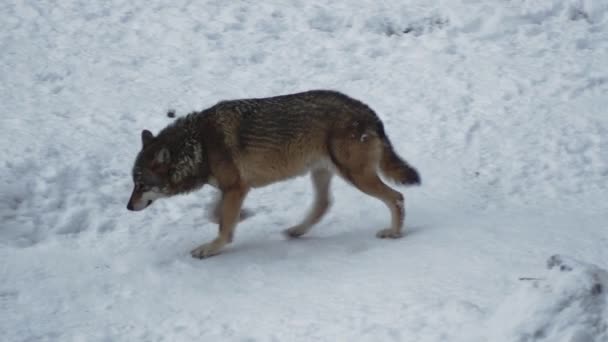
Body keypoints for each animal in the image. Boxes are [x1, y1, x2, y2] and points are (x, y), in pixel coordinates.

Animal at [126, 89, 420, 258]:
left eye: (141, 185)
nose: (128, 207)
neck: (198, 145)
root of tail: (369, 112)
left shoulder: (236, 187)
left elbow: (222, 224)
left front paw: (210, 248)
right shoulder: (233, 187)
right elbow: (215, 213)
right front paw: (241, 216)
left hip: (355, 176)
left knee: (396, 197)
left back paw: (394, 233)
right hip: (323, 172)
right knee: (324, 204)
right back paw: (297, 231)